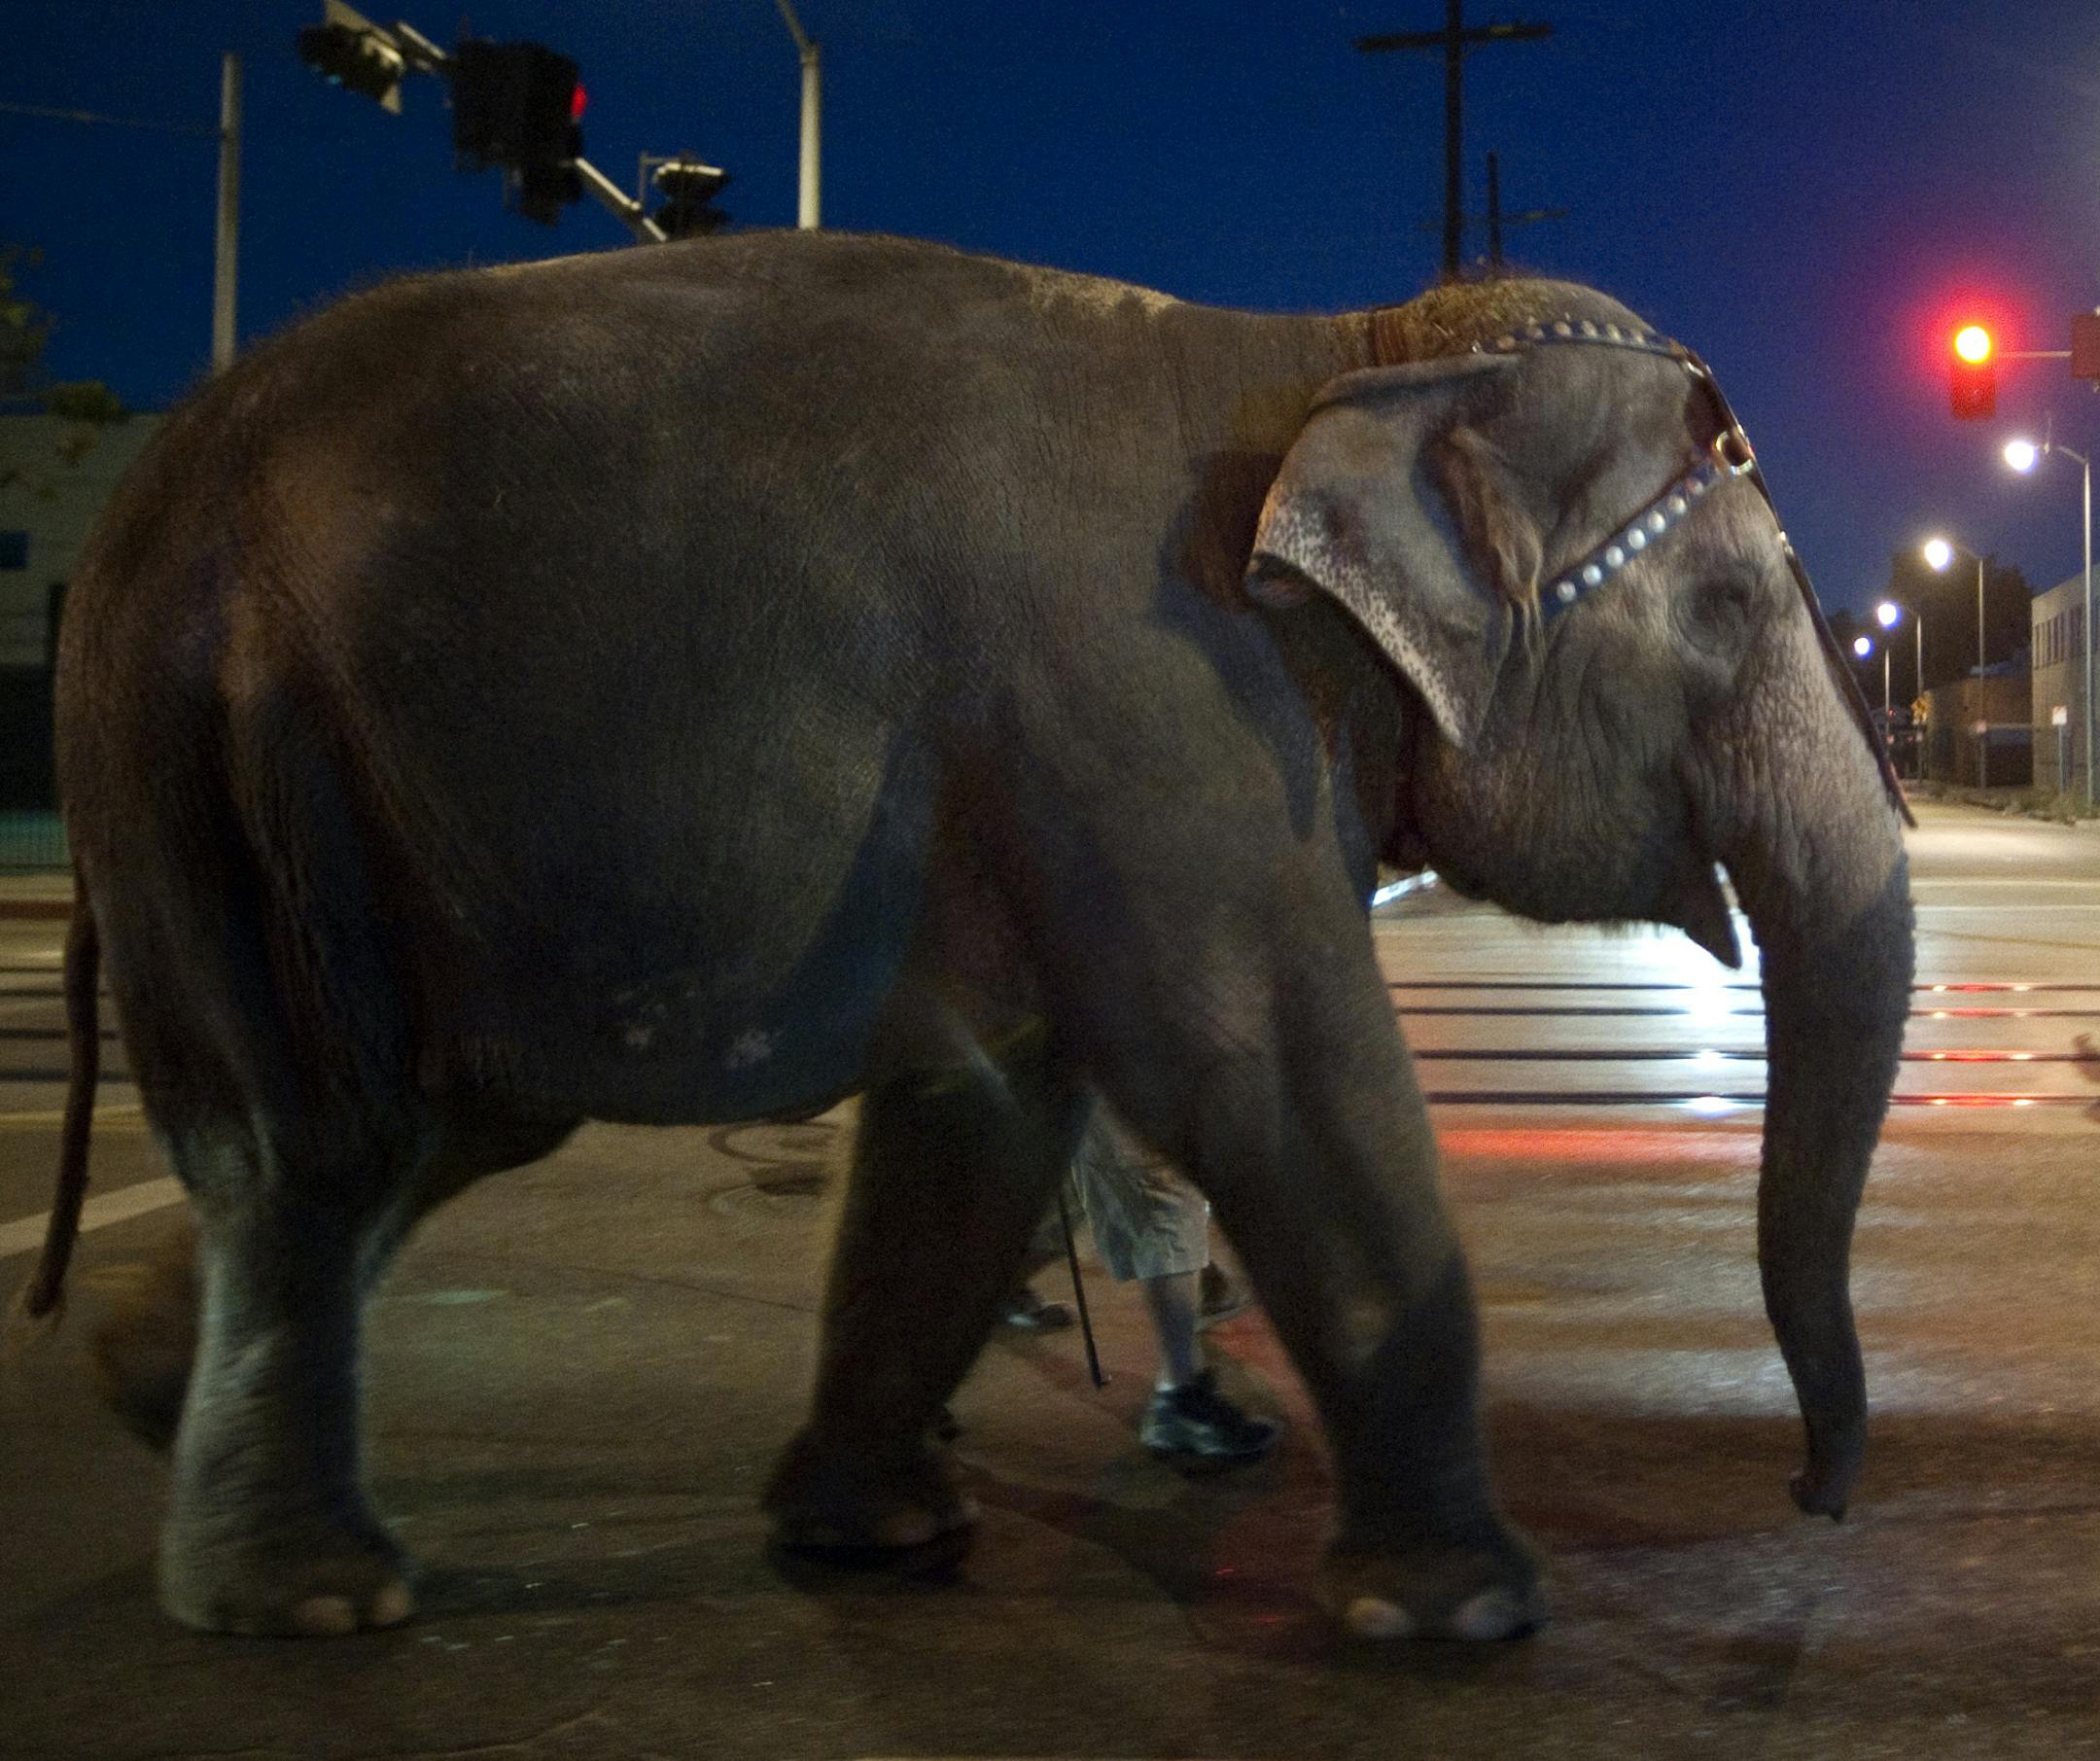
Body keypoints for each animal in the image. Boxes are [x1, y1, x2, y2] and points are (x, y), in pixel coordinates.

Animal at [13, 230, 1913, 1643]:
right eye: (1728, 610)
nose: (1815, 1498)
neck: (1338, 353)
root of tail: (138, 493)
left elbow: (987, 1116)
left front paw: (880, 1534)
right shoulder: (1157, 696)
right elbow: (1266, 1066)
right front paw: (1463, 1612)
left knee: (427, 1125)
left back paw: (137, 1384)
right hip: (210, 762)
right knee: (310, 1142)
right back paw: (309, 1597)